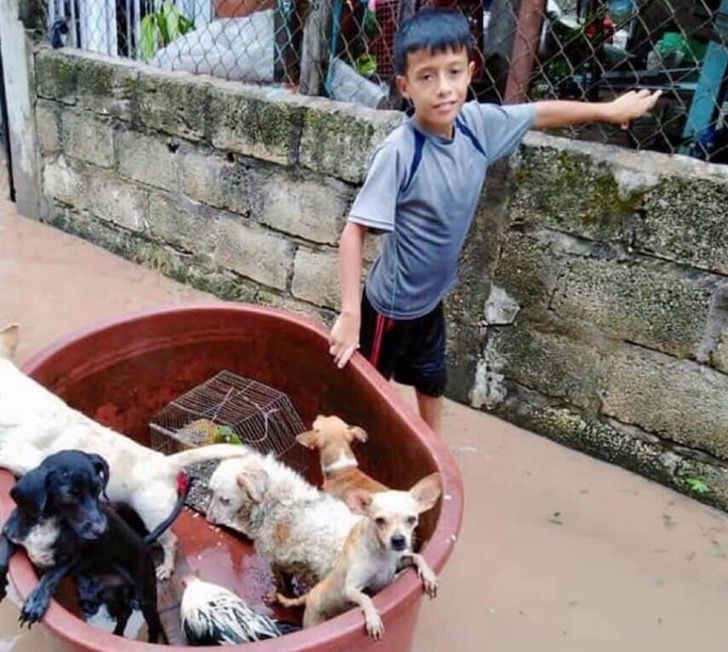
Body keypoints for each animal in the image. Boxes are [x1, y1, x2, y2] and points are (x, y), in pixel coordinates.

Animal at [0, 450, 191, 640]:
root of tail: (143, 541)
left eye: (98, 488)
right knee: (124, 613)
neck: (48, 521)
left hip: (145, 594)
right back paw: (117, 633)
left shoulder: (73, 557)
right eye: (69, 495)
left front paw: (36, 603)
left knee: (153, 623)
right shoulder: (8, 533)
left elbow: (51, 576)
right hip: (111, 594)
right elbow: (3, 557)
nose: (102, 530)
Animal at [278, 472, 438, 640]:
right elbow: (365, 597)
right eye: (379, 520)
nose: (398, 540)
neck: (383, 555)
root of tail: (310, 594)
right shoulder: (350, 589)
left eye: (412, 519)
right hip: (313, 621)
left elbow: (417, 556)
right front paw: (373, 619)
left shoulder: (398, 563)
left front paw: (429, 576)